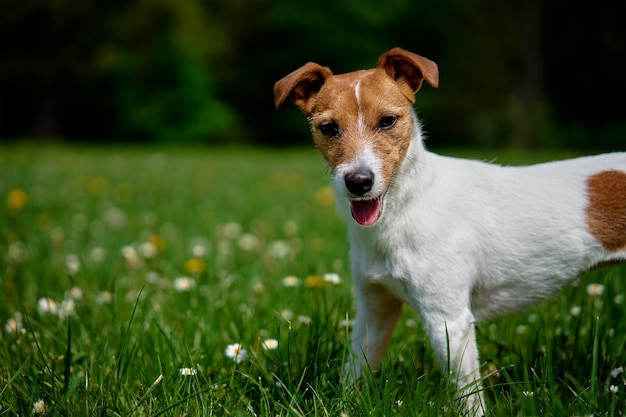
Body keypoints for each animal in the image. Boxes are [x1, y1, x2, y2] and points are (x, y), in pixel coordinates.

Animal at [272, 48, 624, 412]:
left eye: (388, 121)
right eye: (329, 128)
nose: (358, 182)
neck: (405, 208)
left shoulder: (448, 320)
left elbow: (469, 398)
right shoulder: (374, 311)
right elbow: (354, 371)